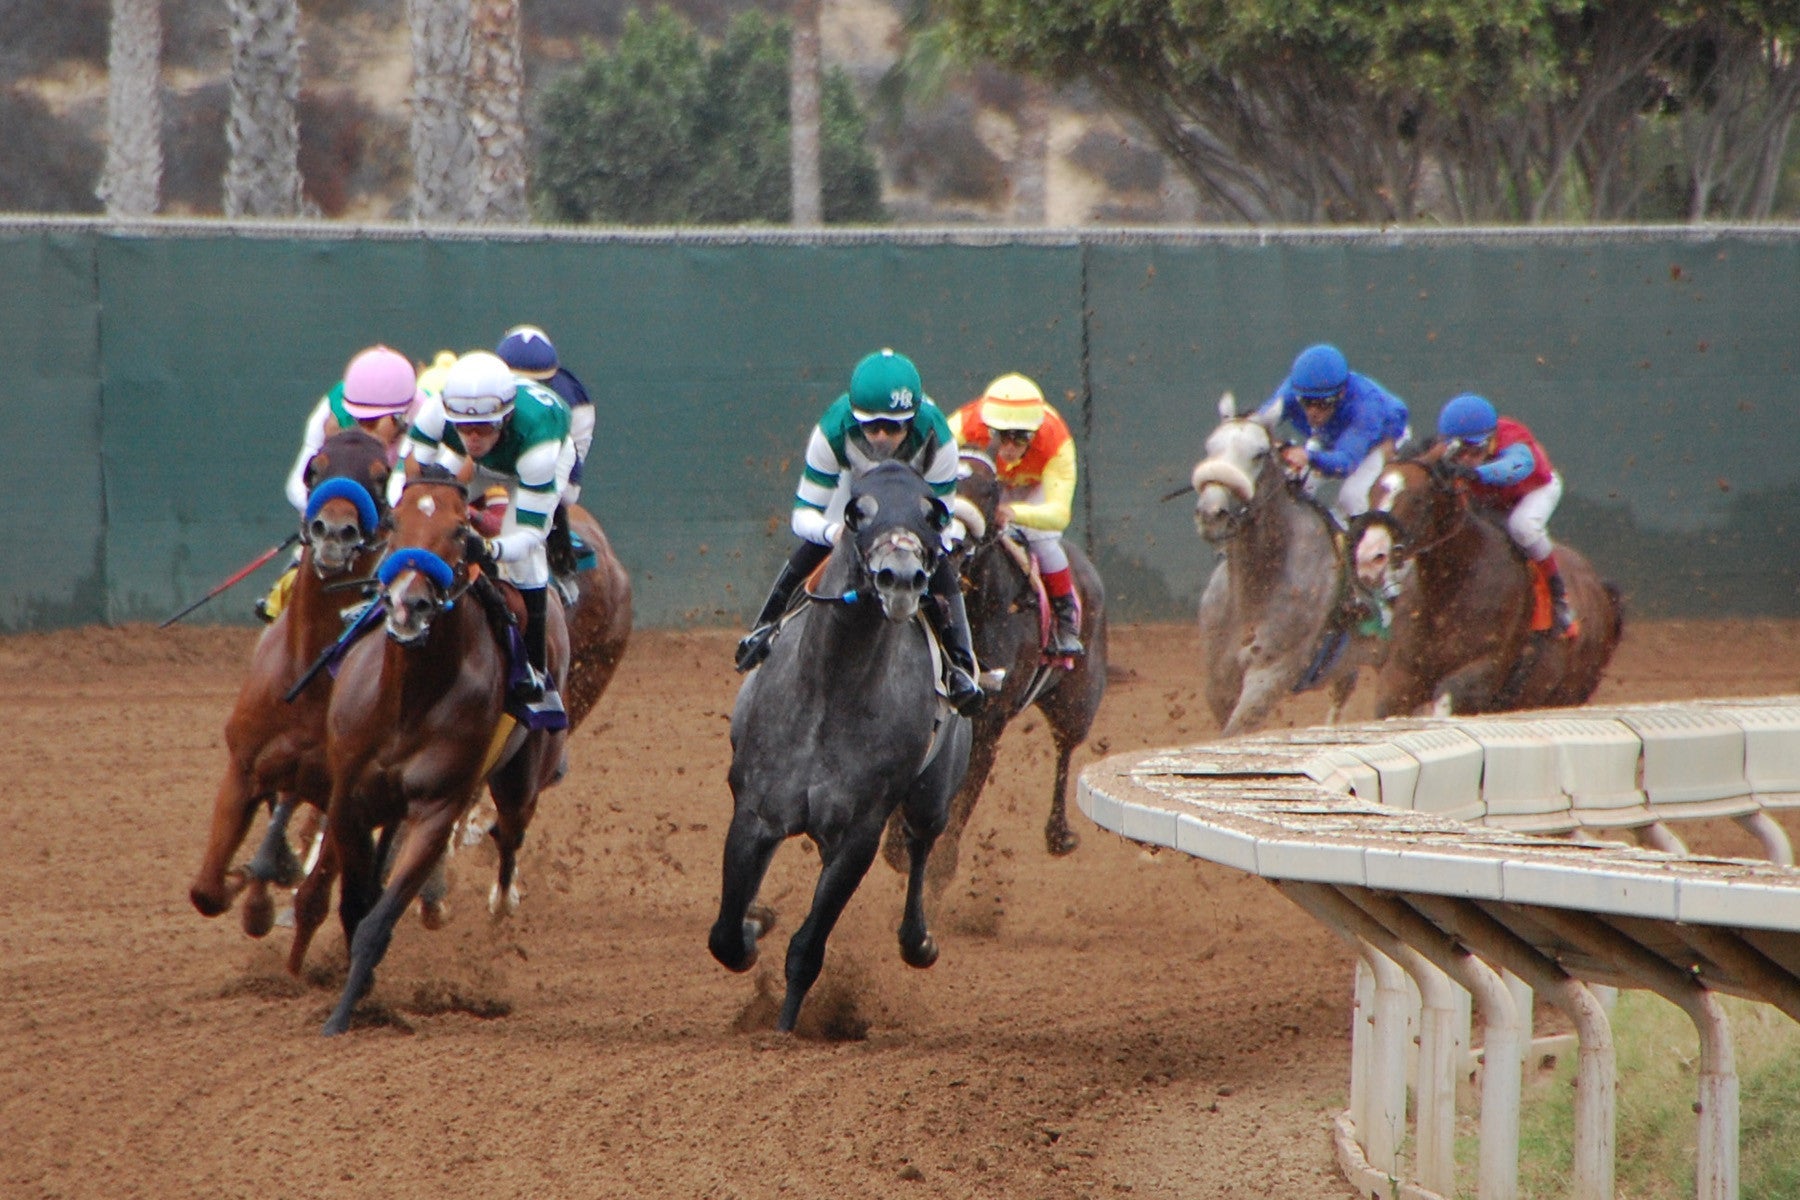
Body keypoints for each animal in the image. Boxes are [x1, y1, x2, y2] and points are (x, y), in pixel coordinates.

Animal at [186, 431, 390, 935]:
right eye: (316, 467)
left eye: (382, 476)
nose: (334, 530)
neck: (311, 679)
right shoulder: (243, 767)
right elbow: (206, 891)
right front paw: (250, 884)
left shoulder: (345, 799)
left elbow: (319, 890)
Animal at [291, 467, 568, 1036]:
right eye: (395, 520)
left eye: (461, 532)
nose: (409, 604)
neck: (408, 700)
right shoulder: (349, 797)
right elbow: (356, 904)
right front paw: (356, 993)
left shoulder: (437, 810)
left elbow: (377, 920)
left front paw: (345, 1013)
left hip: (521, 779)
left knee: (511, 832)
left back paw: (500, 900)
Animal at [709, 456, 979, 1036]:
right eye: (857, 512)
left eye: (933, 512)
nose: (901, 578)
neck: (831, 688)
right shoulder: (755, 811)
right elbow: (725, 936)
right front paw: (751, 924)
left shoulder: (859, 833)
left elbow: (807, 949)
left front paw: (785, 1031)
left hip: (932, 795)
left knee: (922, 844)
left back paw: (919, 941)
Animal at [1346, 447, 1627, 712]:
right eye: (1372, 492)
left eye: (1417, 499)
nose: (1370, 556)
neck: (1448, 593)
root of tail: (1602, 590)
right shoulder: (1400, 673)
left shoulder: (1483, 674)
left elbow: (1446, 702)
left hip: (1565, 694)